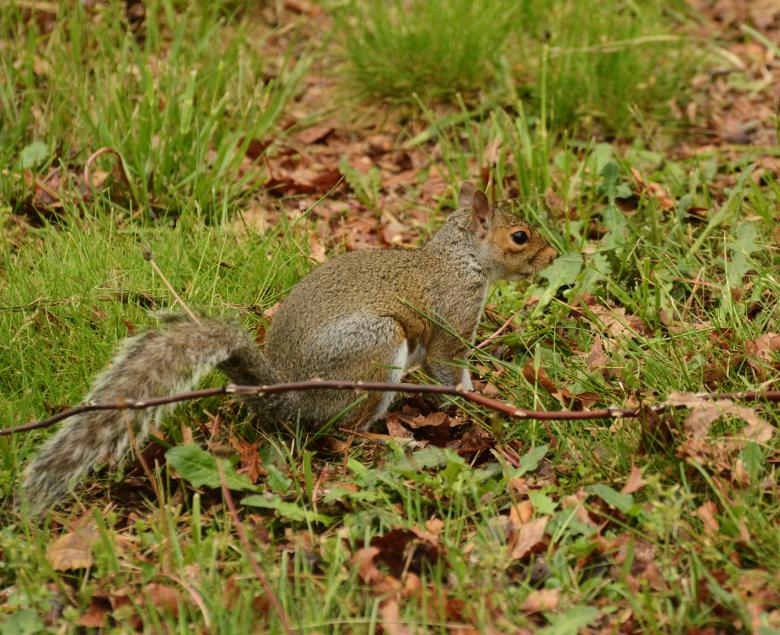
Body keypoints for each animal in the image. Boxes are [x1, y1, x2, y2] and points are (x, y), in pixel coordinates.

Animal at [20, 182, 556, 515]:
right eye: (520, 236)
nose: (553, 254)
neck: (463, 260)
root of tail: (288, 395)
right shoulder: (451, 321)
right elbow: (449, 370)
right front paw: (476, 404)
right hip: (376, 348)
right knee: (346, 433)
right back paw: (394, 440)